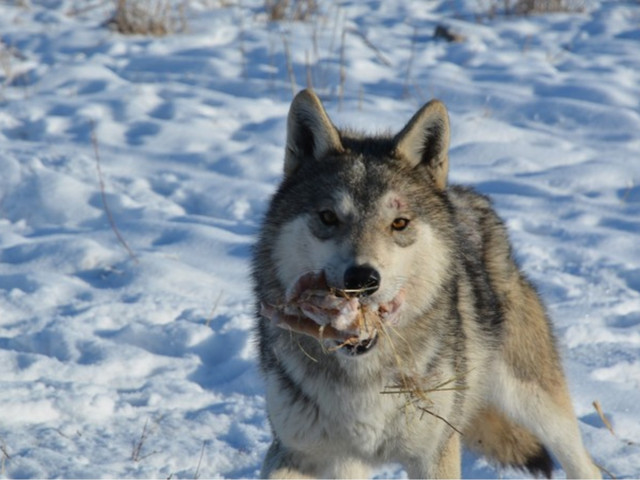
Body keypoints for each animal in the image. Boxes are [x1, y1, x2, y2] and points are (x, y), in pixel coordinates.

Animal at [251, 90, 600, 480]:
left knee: (586, 465)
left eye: (399, 223)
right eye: (328, 217)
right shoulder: (297, 452)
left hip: (535, 401)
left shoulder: (434, 453)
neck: (362, 377)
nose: (362, 279)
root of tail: (469, 199)